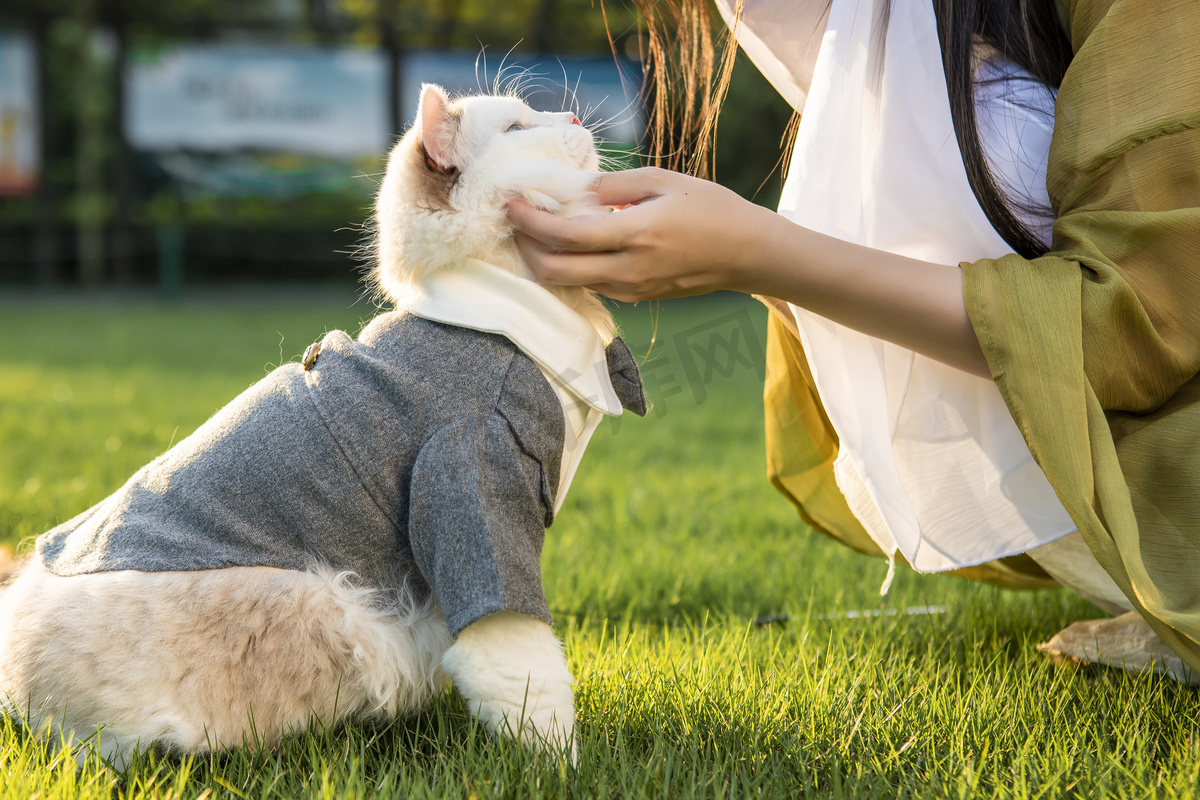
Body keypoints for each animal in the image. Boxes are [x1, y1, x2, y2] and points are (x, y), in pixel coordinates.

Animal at [0, 84, 638, 767]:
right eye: (519, 127)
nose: (574, 116)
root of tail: (24, 706)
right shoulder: (473, 483)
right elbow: (527, 673)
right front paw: (559, 768)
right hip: (327, 602)